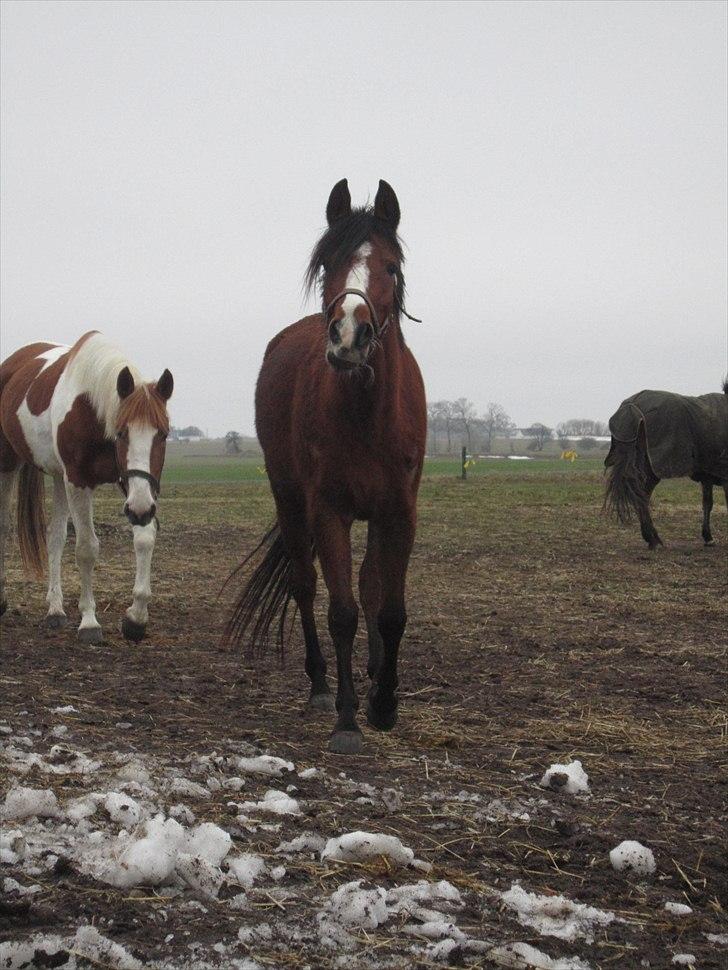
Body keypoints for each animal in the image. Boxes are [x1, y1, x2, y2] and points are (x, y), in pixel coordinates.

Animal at [0, 330, 173, 644]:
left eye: (163, 434)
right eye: (122, 432)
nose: (141, 509)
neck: (92, 407)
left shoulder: (132, 486)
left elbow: (145, 539)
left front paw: (136, 617)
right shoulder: (79, 481)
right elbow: (86, 549)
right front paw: (89, 622)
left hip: (60, 477)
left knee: (55, 536)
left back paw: (55, 609)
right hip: (8, 462)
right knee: (3, 527)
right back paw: (2, 600)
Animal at [228, 182, 426, 756]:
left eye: (390, 266)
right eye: (327, 264)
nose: (347, 337)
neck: (367, 413)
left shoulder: (398, 512)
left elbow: (389, 608)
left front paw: (385, 703)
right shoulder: (329, 511)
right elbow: (341, 612)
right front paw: (347, 720)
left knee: (370, 584)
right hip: (292, 503)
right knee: (304, 584)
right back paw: (319, 686)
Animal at [604, 386, 728, 552]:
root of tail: (632, 404)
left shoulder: (707, 474)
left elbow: (707, 504)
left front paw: (708, 537)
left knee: (640, 496)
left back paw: (652, 538)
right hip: (650, 470)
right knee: (642, 497)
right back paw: (652, 539)